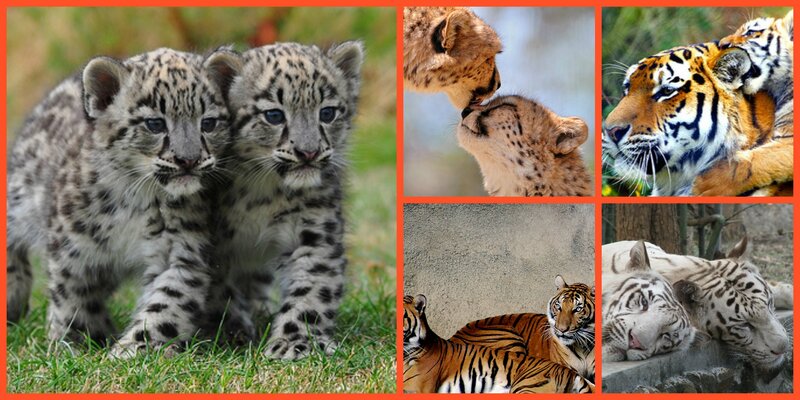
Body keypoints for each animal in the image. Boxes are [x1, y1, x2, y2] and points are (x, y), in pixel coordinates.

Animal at [6, 47, 239, 356]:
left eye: (209, 122)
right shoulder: (73, 245)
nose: (188, 160)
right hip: (21, 192)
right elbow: (72, 294)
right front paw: (74, 341)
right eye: (155, 123)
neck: (139, 198)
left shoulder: (181, 250)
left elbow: (167, 305)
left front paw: (131, 349)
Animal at [206, 41, 363, 360]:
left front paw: (295, 342)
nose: (309, 152)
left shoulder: (316, 232)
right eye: (274, 116)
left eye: (328, 112)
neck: (264, 193)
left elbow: (312, 290)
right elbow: (219, 289)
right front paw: (232, 331)